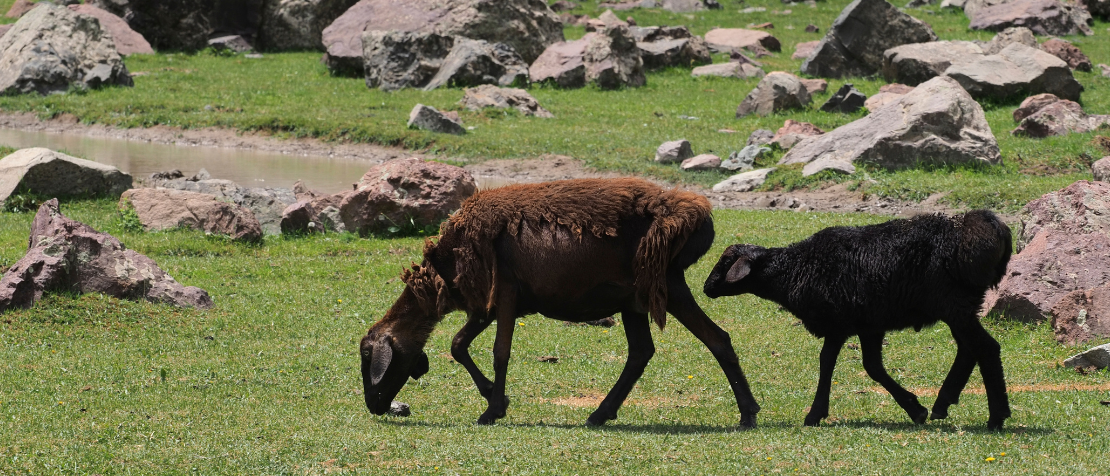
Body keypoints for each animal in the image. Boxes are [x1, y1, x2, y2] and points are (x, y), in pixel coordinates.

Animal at [360, 178, 762, 427]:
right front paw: (494, 398)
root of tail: (698, 215)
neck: (444, 271)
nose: (374, 407)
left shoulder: (504, 292)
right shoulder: (488, 302)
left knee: (715, 339)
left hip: (666, 282)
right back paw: (601, 414)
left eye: (366, 355)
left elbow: (500, 352)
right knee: (643, 352)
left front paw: (493, 409)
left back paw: (748, 414)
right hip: (634, 297)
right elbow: (459, 345)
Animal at [702, 210, 1013, 430]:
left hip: (954, 305)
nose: (706, 288)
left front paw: (814, 415)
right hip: (958, 307)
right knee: (969, 349)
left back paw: (996, 417)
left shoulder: (838, 323)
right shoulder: (869, 324)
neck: (794, 269)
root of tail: (991, 229)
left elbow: (827, 362)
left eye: (725, 262)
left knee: (986, 348)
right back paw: (943, 403)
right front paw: (915, 409)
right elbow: (872, 366)